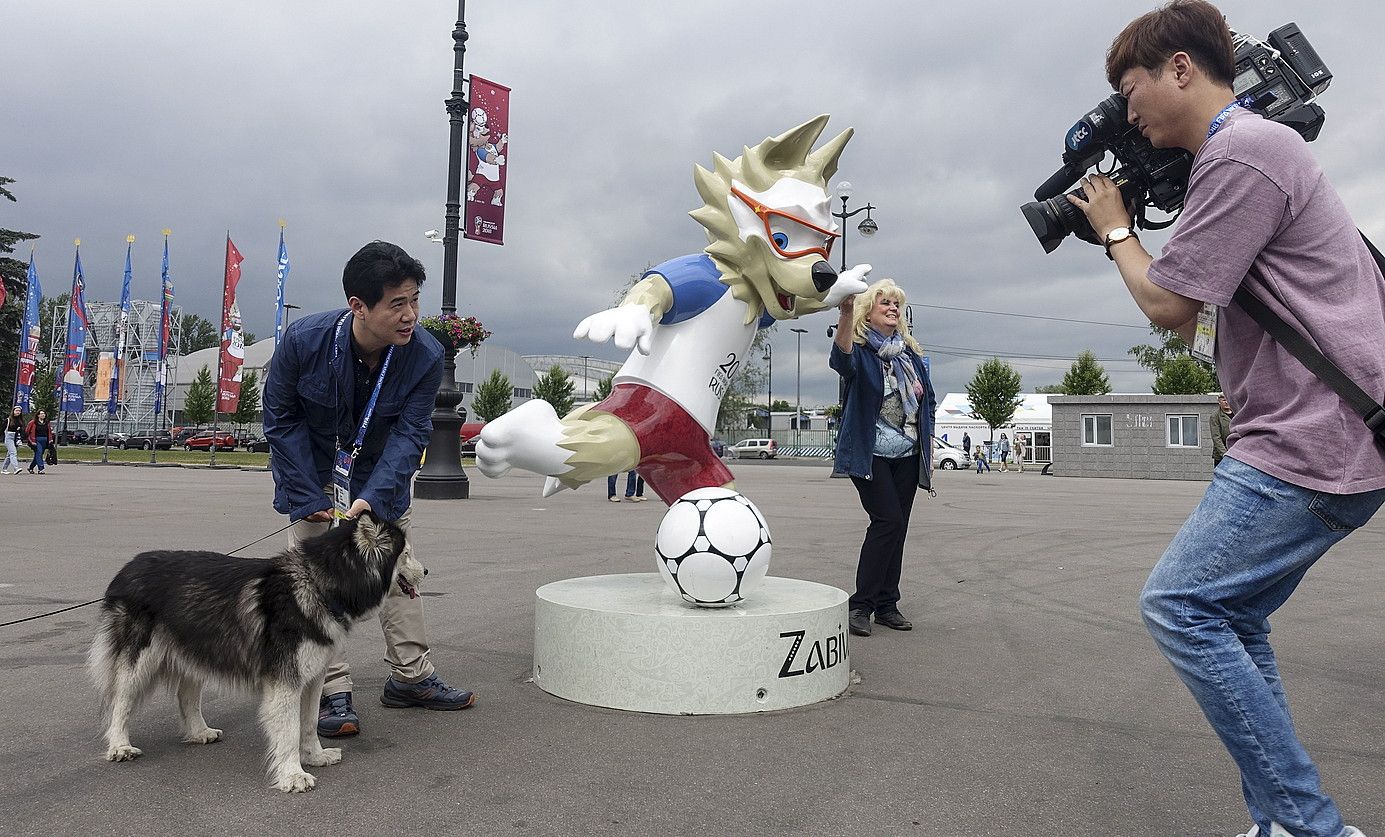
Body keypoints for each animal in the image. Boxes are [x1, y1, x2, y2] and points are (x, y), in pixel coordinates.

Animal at [90, 512, 423, 792]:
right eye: (406, 554)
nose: (427, 571)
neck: (317, 585)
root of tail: (129, 566)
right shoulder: (286, 682)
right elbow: (289, 729)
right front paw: (293, 774)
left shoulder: (313, 678)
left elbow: (309, 722)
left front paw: (315, 756)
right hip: (139, 660)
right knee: (121, 702)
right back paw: (119, 745)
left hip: (196, 650)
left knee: (187, 697)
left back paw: (199, 731)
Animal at [473, 112, 864, 504]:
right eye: (780, 238)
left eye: (825, 242)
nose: (824, 274)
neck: (740, 283)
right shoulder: (704, 277)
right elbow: (659, 286)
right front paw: (626, 320)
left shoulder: (763, 304)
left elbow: (798, 304)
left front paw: (849, 283)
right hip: (644, 418)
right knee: (591, 447)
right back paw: (512, 433)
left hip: (688, 457)